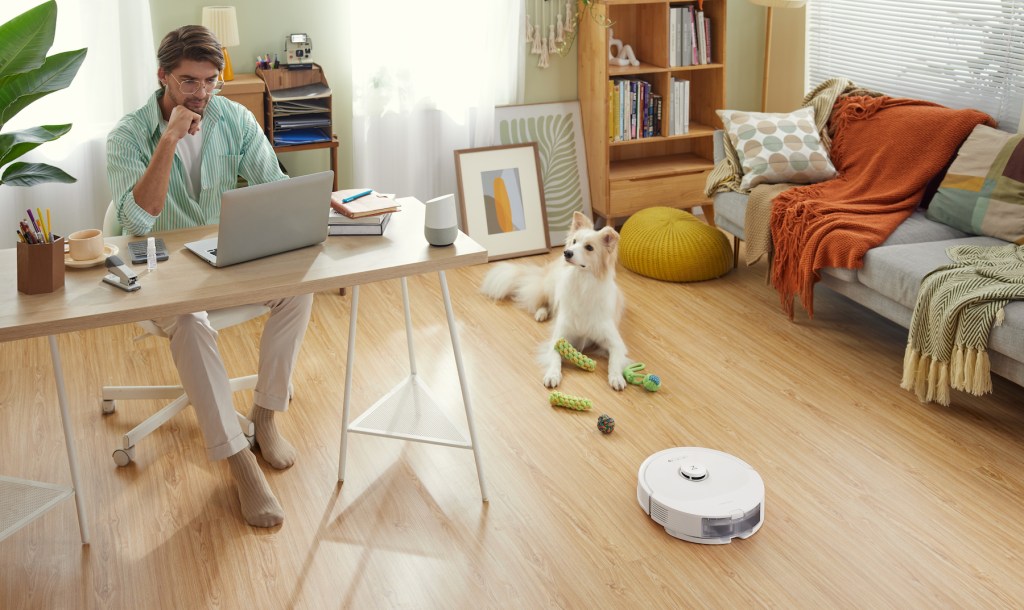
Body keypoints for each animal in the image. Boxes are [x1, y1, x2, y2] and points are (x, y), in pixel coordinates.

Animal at [481, 210, 630, 390]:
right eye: (574, 241)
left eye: (589, 247)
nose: (567, 252)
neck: (581, 281)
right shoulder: (559, 337)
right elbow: (555, 358)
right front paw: (552, 375)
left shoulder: (615, 341)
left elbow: (614, 361)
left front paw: (616, 377)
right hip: (549, 287)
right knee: (543, 302)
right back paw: (541, 314)